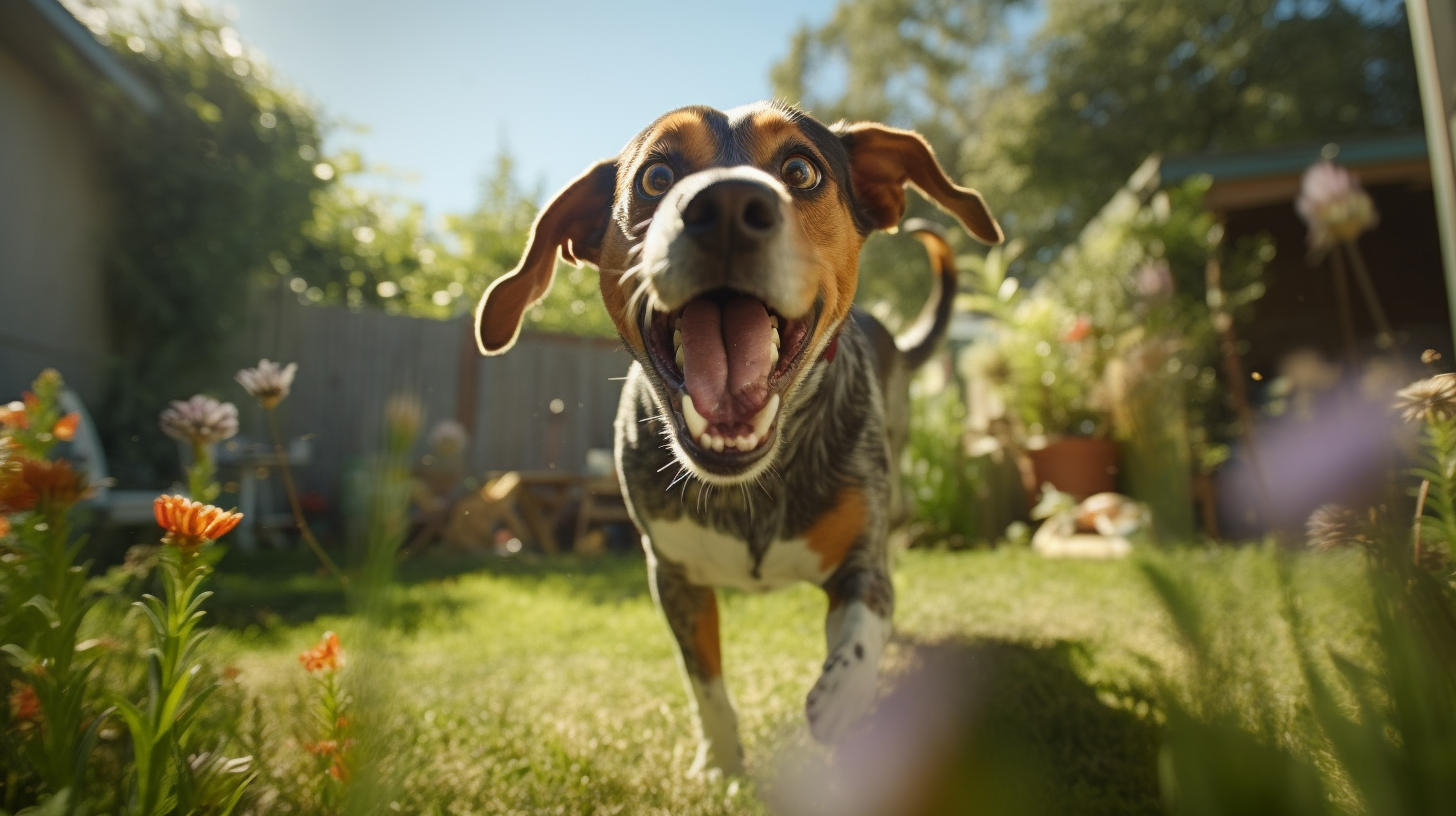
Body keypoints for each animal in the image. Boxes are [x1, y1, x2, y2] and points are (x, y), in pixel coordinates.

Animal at [477, 100, 1001, 769]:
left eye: (801, 170)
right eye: (656, 176)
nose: (726, 205)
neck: (748, 484)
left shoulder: (860, 557)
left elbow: (865, 618)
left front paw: (841, 698)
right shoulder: (673, 580)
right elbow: (703, 679)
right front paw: (722, 759)